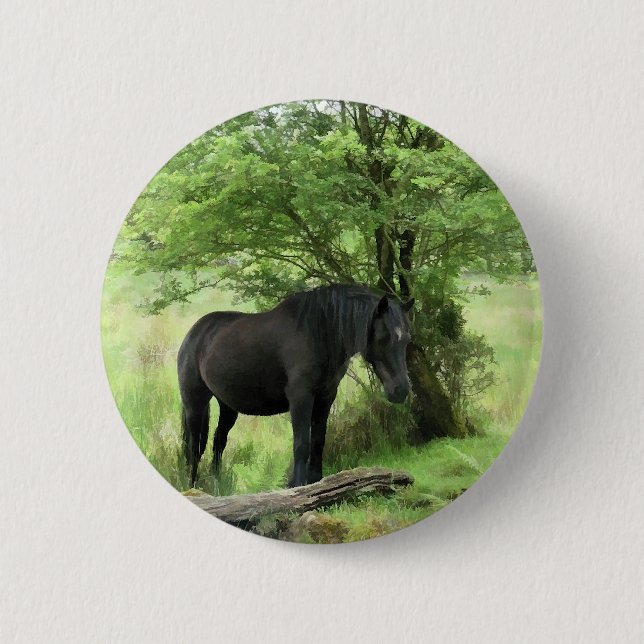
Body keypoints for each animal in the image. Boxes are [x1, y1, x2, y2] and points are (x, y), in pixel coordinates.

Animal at [177, 284, 414, 488]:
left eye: (407, 339)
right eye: (383, 338)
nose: (400, 390)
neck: (319, 333)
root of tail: (194, 333)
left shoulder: (326, 397)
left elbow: (318, 441)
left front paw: (316, 482)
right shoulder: (301, 398)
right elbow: (302, 444)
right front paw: (297, 486)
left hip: (227, 406)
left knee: (218, 442)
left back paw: (216, 485)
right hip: (195, 403)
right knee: (194, 447)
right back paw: (193, 486)